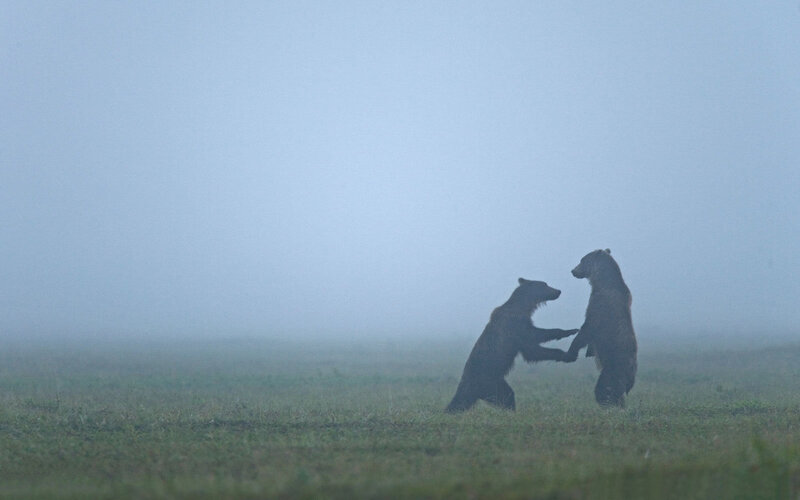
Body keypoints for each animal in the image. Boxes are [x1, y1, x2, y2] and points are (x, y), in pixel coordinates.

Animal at [445, 278, 579, 413]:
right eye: (545, 285)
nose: (558, 291)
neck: (524, 307)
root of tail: (465, 382)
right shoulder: (515, 326)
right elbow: (533, 344)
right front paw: (569, 335)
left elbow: (532, 351)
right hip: (488, 382)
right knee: (503, 397)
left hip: (497, 381)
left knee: (506, 394)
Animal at [566, 249, 637, 407]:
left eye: (582, 260)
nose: (573, 271)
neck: (601, 282)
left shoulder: (600, 304)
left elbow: (587, 328)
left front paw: (571, 351)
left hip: (614, 365)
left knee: (605, 387)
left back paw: (609, 404)